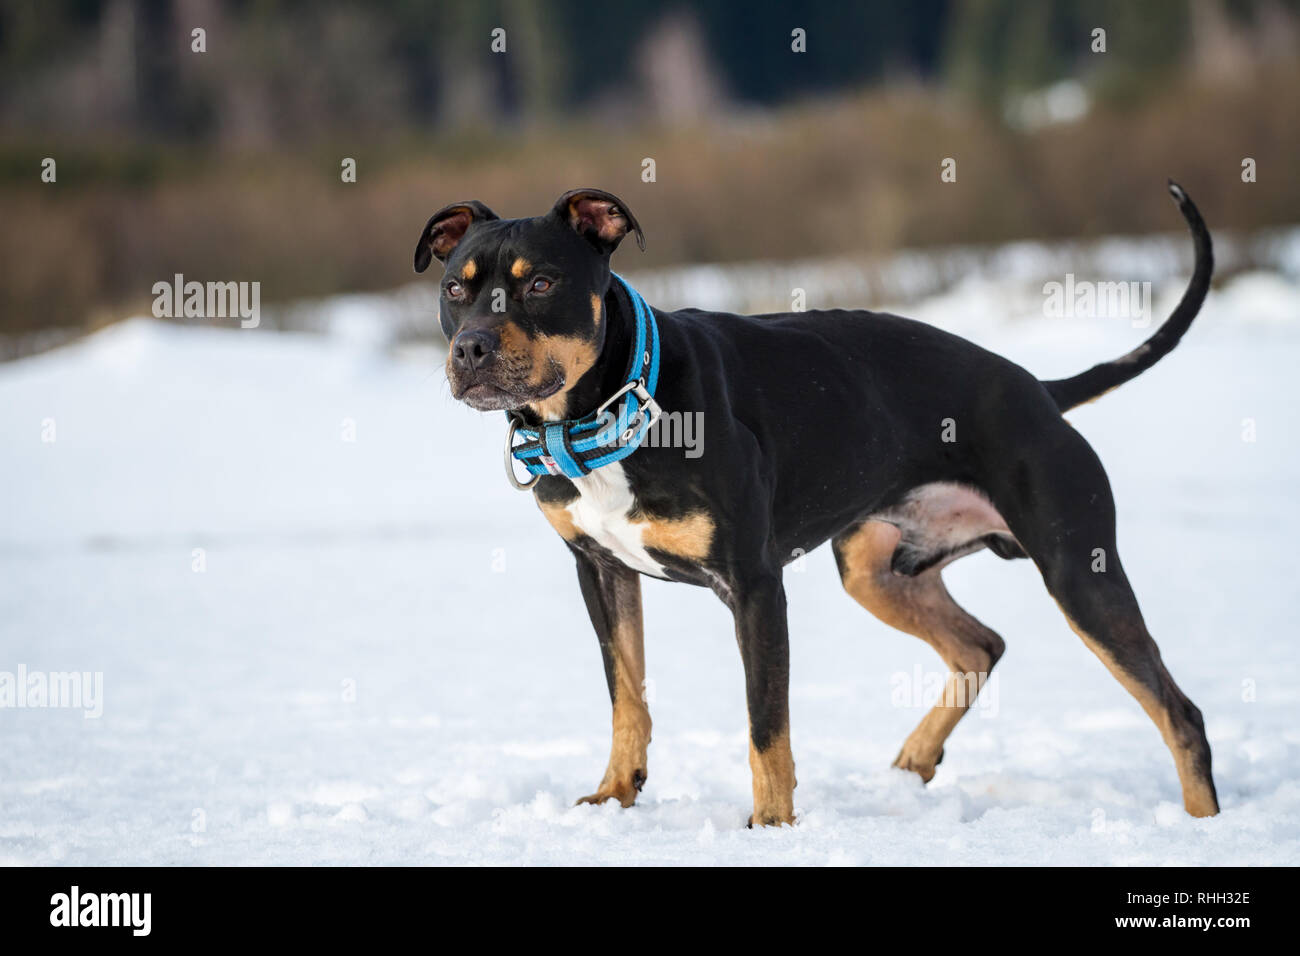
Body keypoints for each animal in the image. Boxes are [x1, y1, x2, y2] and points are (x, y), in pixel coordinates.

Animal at [413, 183, 1216, 827]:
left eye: (542, 282)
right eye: (455, 290)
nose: (471, 349)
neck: (615, 404)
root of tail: (1041, 391)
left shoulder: (753, 586)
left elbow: (766, 726)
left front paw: (771, 826)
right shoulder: (601, 573)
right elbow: (627, 698)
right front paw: (615, 796)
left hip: (1079, 573)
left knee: (1179, 712)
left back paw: (1202, 823)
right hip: (875, 571)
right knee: (981, 645)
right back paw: (915, 760)